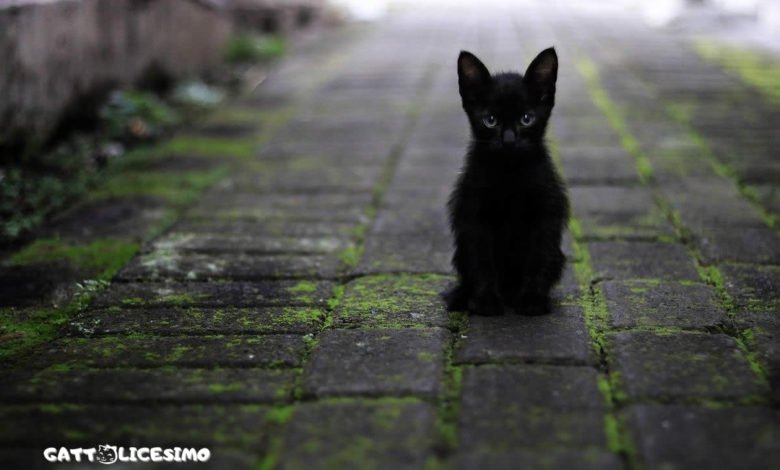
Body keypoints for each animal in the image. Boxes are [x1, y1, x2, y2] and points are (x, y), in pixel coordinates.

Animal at [448, 48, 568, 316]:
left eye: (526, 119)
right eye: (490, 120)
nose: (509, 140)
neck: (509, 173)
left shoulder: (544, 215)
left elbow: (537, 258)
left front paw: (532, 300)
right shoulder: (474, 217)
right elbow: (482, 261)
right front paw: (486, 302)